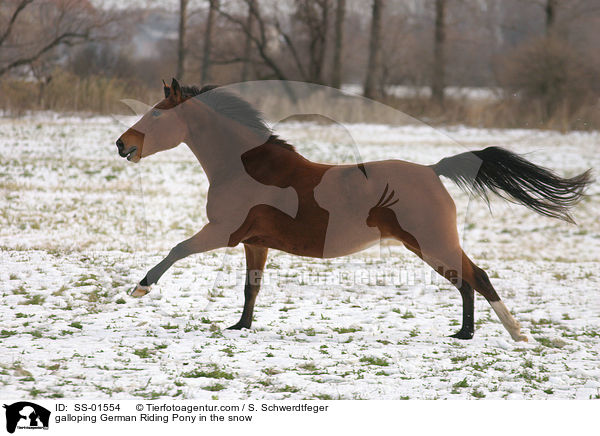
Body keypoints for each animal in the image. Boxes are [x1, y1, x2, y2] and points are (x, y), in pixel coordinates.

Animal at [116, 80, 592, 342]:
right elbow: (252, 287)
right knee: (467, 281)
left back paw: (513, 334)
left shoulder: (222, 231)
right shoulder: (254, 242)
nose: (123, 144)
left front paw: (140, 289)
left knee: (477, 277)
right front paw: (241, 327)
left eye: (156, 114)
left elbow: (177, 249)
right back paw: (465, 333)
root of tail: (432, 170)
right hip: (429, 245)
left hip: (430, 242)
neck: (247, 167)